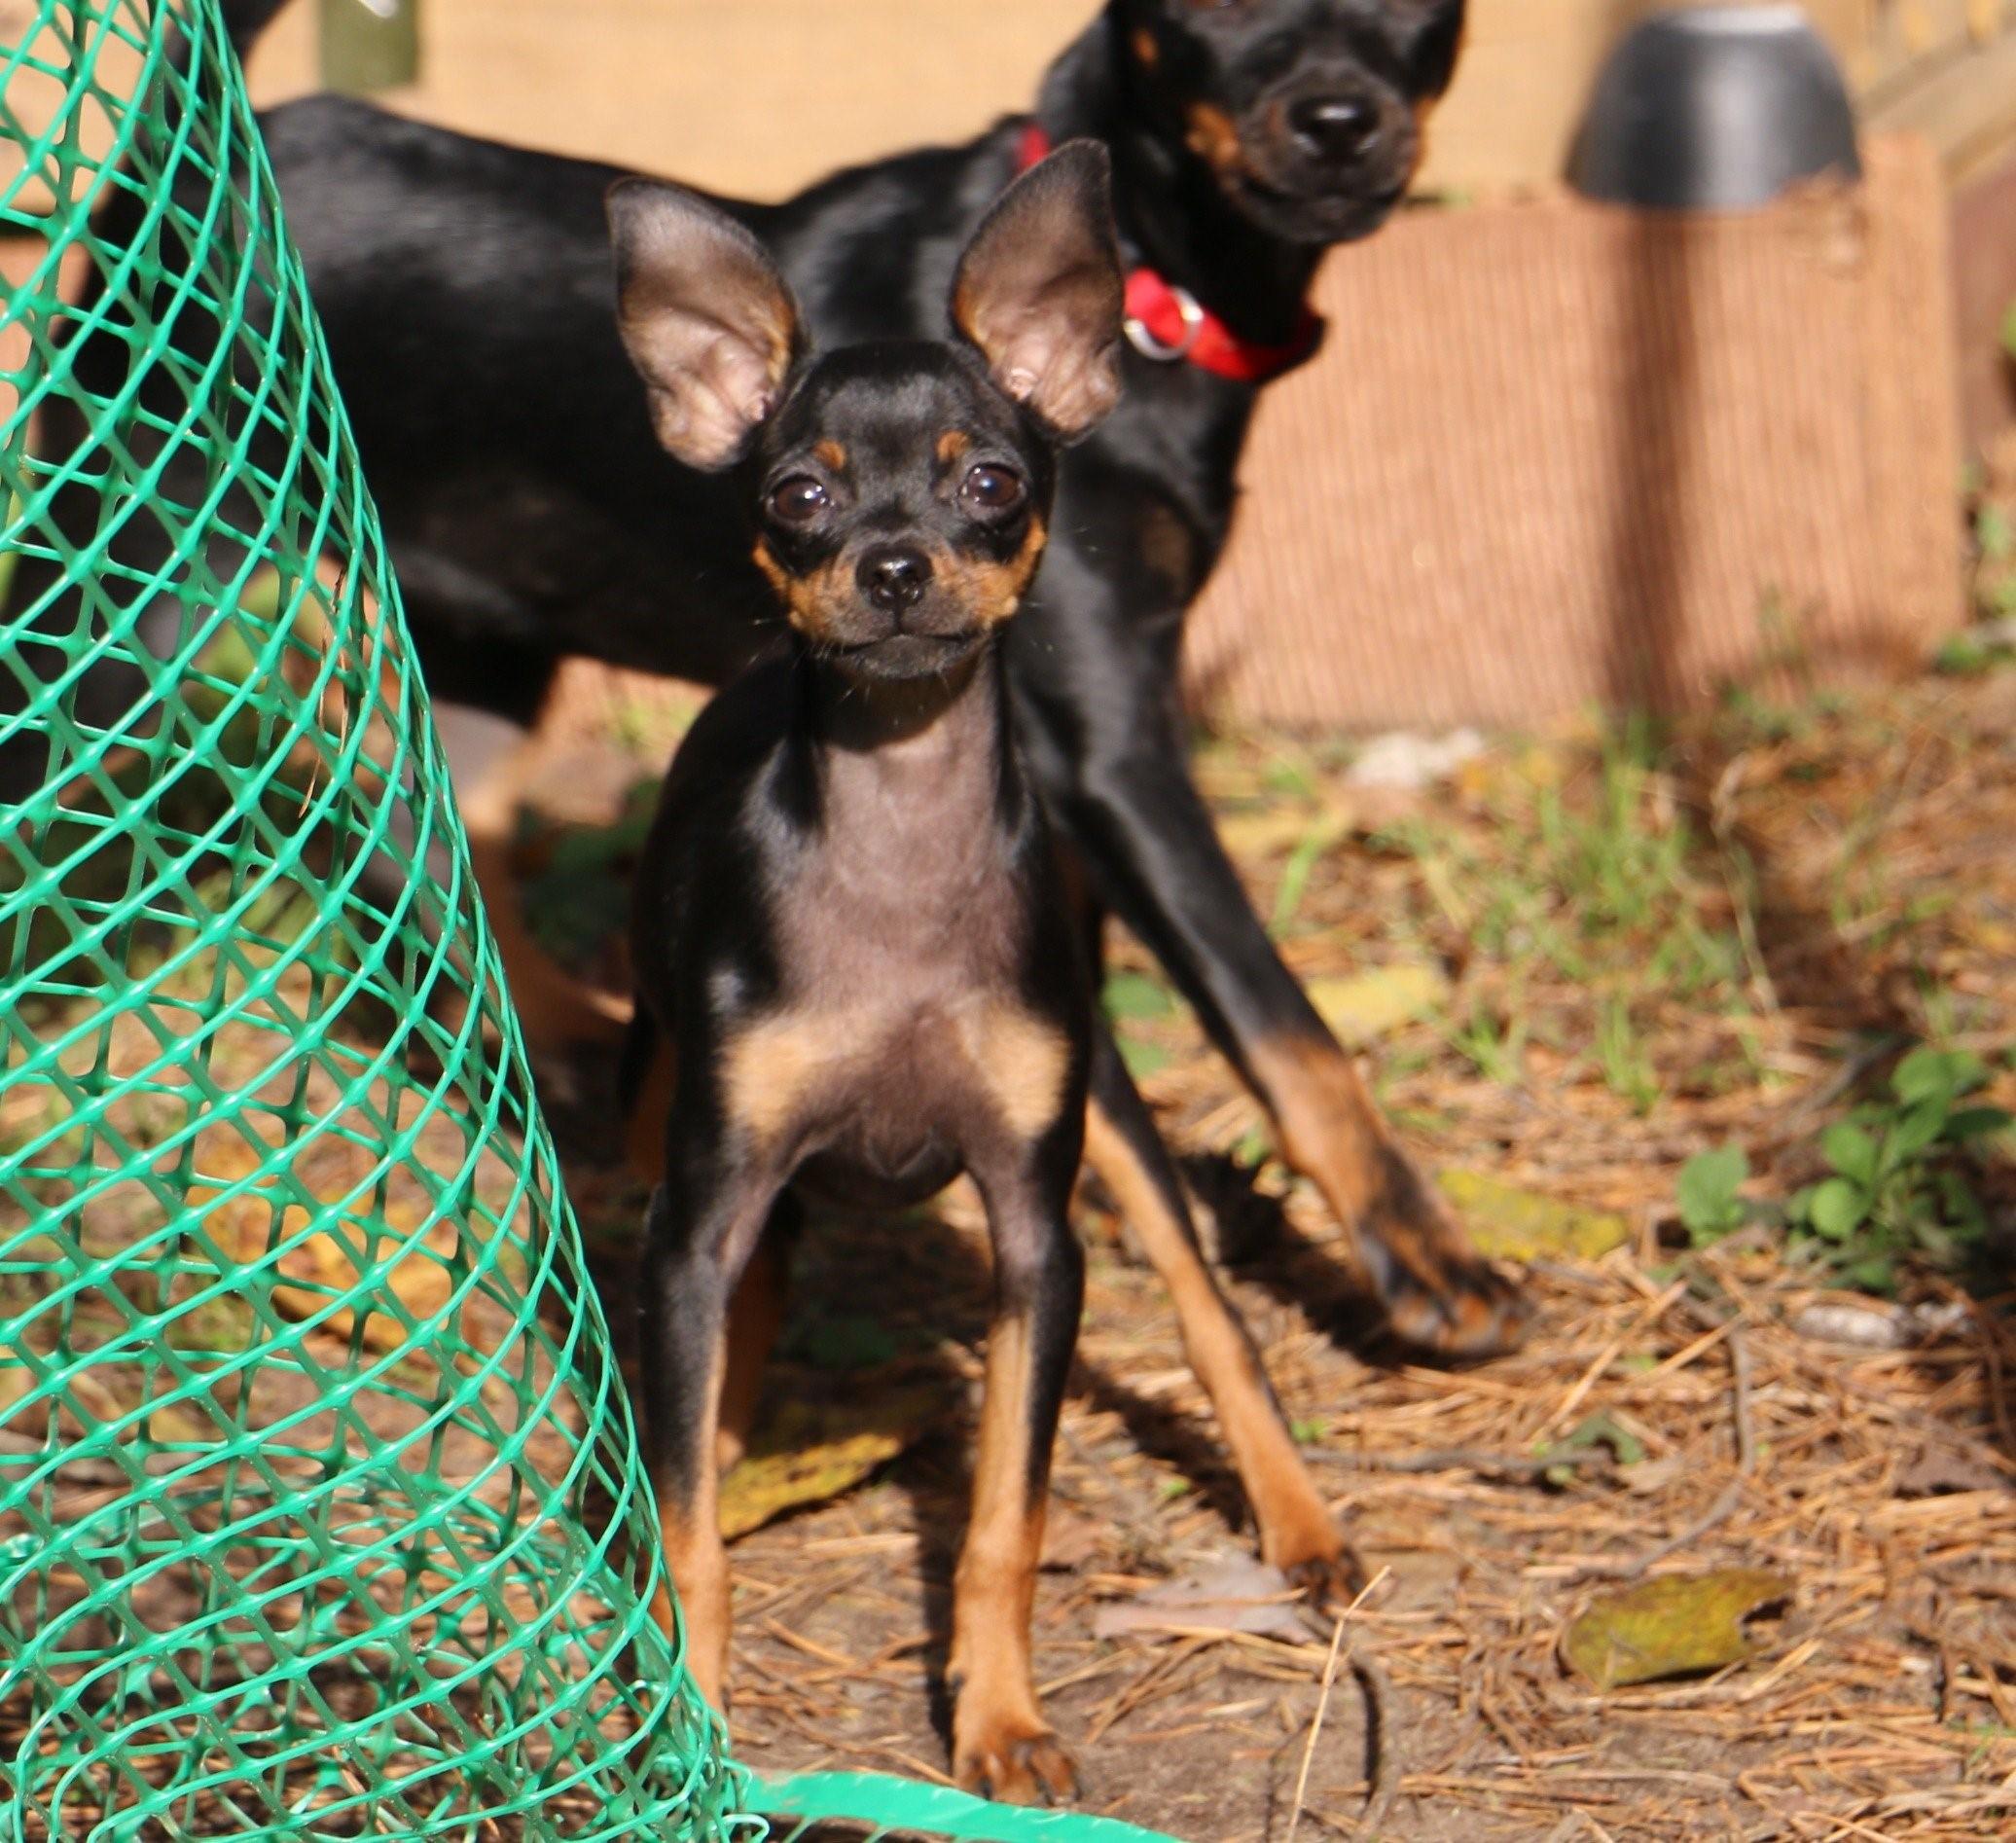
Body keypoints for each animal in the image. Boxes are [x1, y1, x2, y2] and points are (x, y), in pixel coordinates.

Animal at [608, 143, 1338, 1798]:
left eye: (991, 482)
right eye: (799, 494)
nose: (893, 564)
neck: (896, 835)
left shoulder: (1034, 1236)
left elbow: (1009, 1512)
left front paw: (1002, 1717)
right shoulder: (698, 1213)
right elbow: (687, 1525)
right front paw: (694, 1721)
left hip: (1112, 1113)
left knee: (1211, 1307)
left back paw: (1299, 1514)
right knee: (744, 1309)